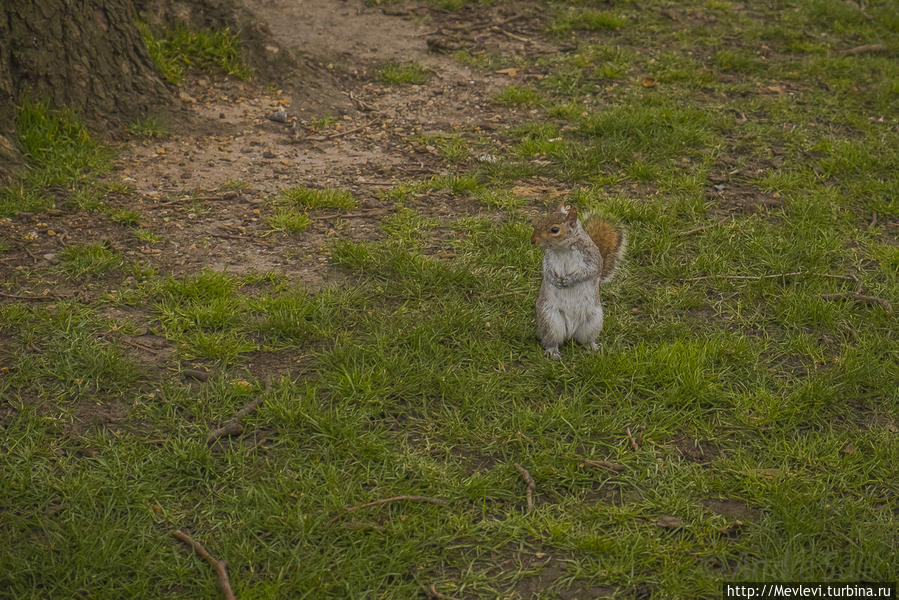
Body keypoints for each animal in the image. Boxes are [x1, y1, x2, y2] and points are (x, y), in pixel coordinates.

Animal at [532, 204, 624, 358]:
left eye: (555, 230)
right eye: (539, 222)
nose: (532, 241)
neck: (562, 249)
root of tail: (570, 332)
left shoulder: (592, 257)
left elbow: (590, 271)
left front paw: (569, 280)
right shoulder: (548, 259)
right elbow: (546, 270)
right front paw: (554, 280)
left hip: (593, 321)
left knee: (586, 339)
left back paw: (593, 347)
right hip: (550, 320)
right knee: (551, 339)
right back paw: (553, 351)